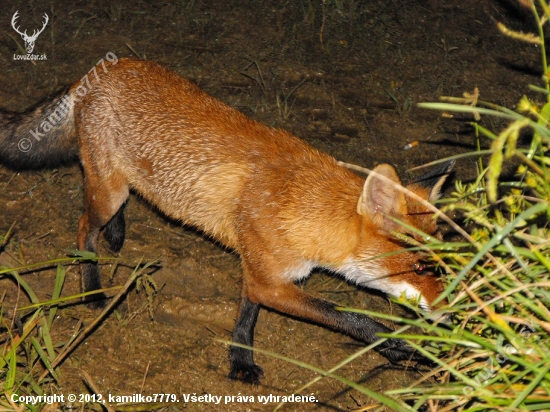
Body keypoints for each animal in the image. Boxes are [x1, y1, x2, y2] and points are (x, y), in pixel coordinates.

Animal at [1, 57, 452, 384]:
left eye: (442, 266)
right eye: (419, 268)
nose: (451, 315)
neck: (300, 205)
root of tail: (101, 68)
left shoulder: (260, 271)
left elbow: (246, 315)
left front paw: (239, 361)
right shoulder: (271, 278)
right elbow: (347, 315)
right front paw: (397, 344)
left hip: (117, 187)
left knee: (109, 215)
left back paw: (117, 234)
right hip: (106, 194)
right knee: (82, 226)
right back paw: (92, 287)